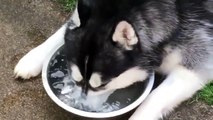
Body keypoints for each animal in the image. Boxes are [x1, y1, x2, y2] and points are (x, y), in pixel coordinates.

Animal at [14, 0, 212, 119]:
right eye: (75, 80)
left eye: (102, 85)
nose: (83, 107)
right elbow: (65, 28)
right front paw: (33, 58)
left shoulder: (195, 65)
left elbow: (153, 99)